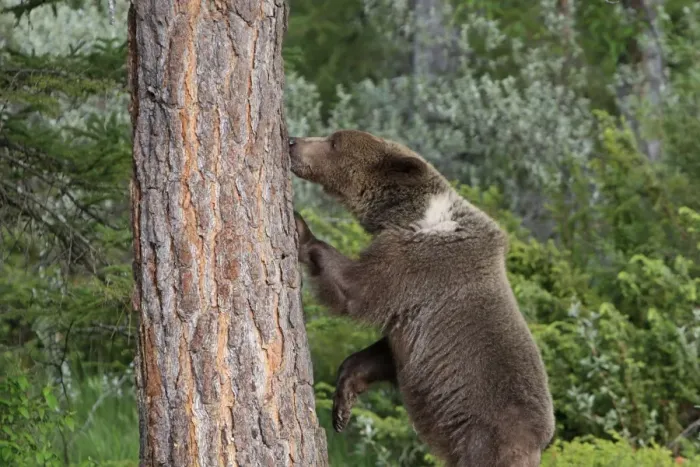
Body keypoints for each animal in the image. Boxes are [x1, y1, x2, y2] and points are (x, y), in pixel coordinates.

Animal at [289, 129, 555, 467]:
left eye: (334, 142)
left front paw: (301, 227)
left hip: (486, 440)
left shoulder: (417, 264)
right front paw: (343, 405)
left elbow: (356, 290)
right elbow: (380, 354)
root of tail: (537, 445)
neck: (411, 214)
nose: (292, 141)